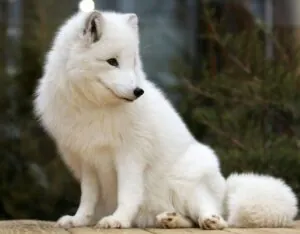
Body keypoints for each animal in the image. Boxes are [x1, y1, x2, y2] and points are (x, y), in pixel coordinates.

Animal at [34, 10, 227, 229]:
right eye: (112, 61)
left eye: (133, 61)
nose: (138, 91)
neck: (96, 107)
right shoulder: (88, 160)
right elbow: (87, 198)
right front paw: (79, 220)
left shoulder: (130, 156)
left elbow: (128, 194)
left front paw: (118, 220)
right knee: (188, 220)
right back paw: (170, 219)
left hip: (186, 182)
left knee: (208, 212)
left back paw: (211, 220)